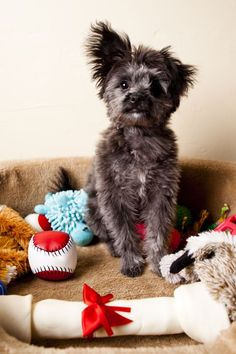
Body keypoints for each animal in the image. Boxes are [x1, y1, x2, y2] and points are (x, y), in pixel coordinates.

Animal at [85, 21, 195, 276]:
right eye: (124, 84)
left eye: (155, 87)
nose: (135, 97)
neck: (139, 137)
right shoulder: (115, 196)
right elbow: (123, 232)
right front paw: (132, 261)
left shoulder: (161, 194)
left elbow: (158, 230)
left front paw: (158, 262)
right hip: (94, 209)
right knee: (106, 234)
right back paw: (114, 249)